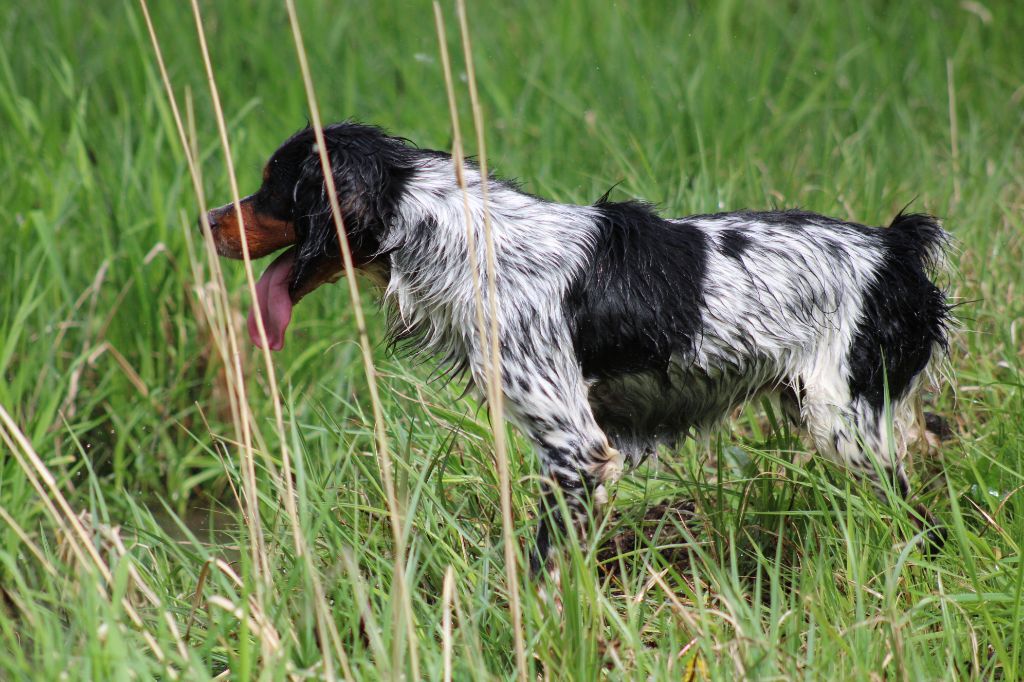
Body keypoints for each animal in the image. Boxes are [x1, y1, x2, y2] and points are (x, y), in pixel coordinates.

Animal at [205, 122, 950, 569]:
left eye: (274, 185)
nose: (208, 219)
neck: (462, 242)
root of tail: (896, 246)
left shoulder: (578, 450)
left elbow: (541, 571)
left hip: (845, 423)